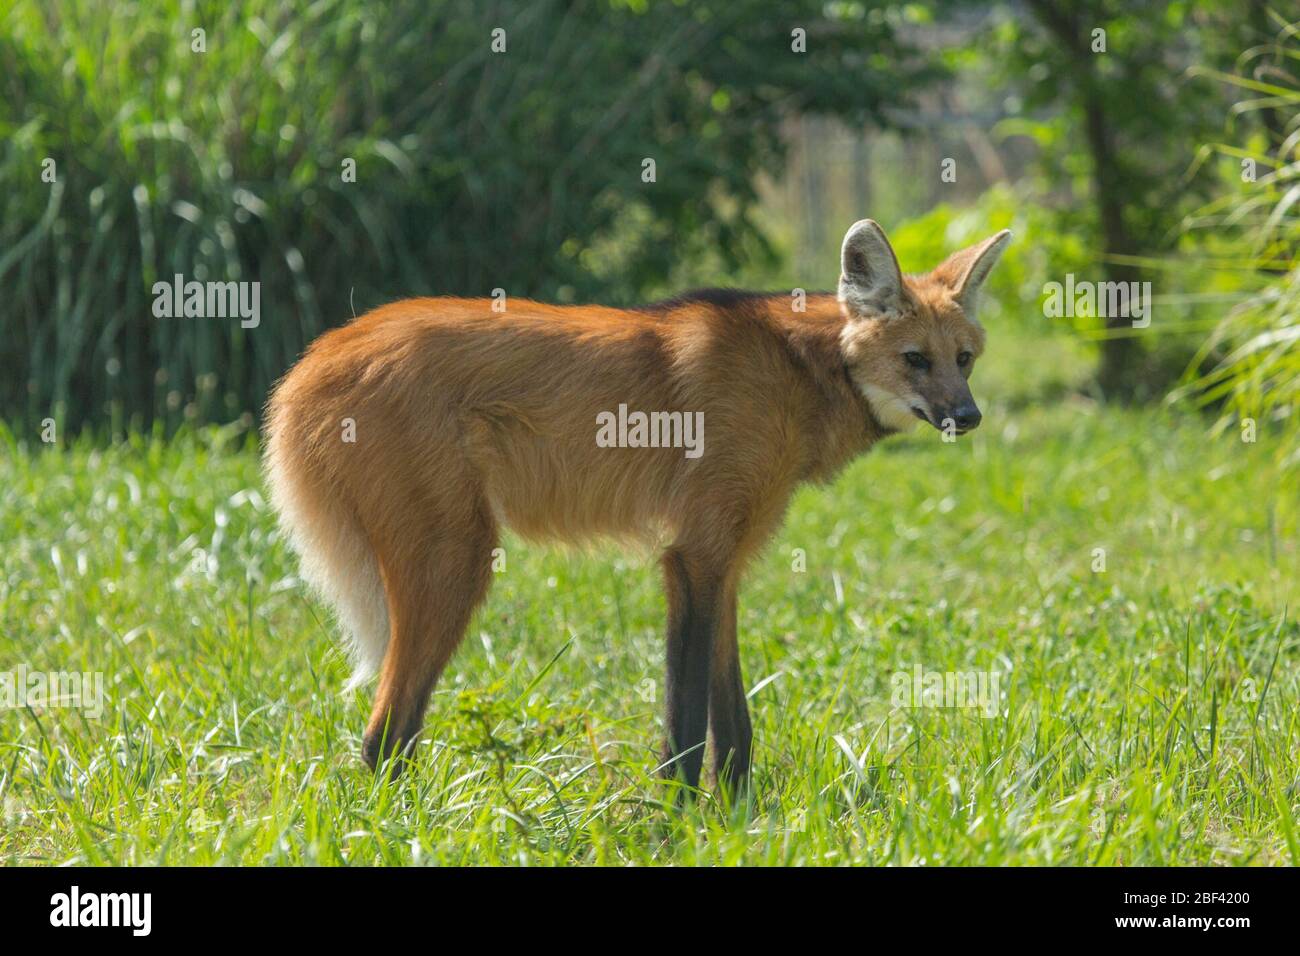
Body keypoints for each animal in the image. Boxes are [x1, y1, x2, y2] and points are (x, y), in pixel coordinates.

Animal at [263, 221, 1008, 790]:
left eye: (964, 359)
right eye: (915, 359)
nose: (969, 417)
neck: (801, 369)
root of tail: (314, 358)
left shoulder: (723, 559)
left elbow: (732, 720)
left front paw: (736, 812)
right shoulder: (694, 557)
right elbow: (685, 717)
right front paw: (675, 815)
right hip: (457, 561)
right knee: (385, 732)